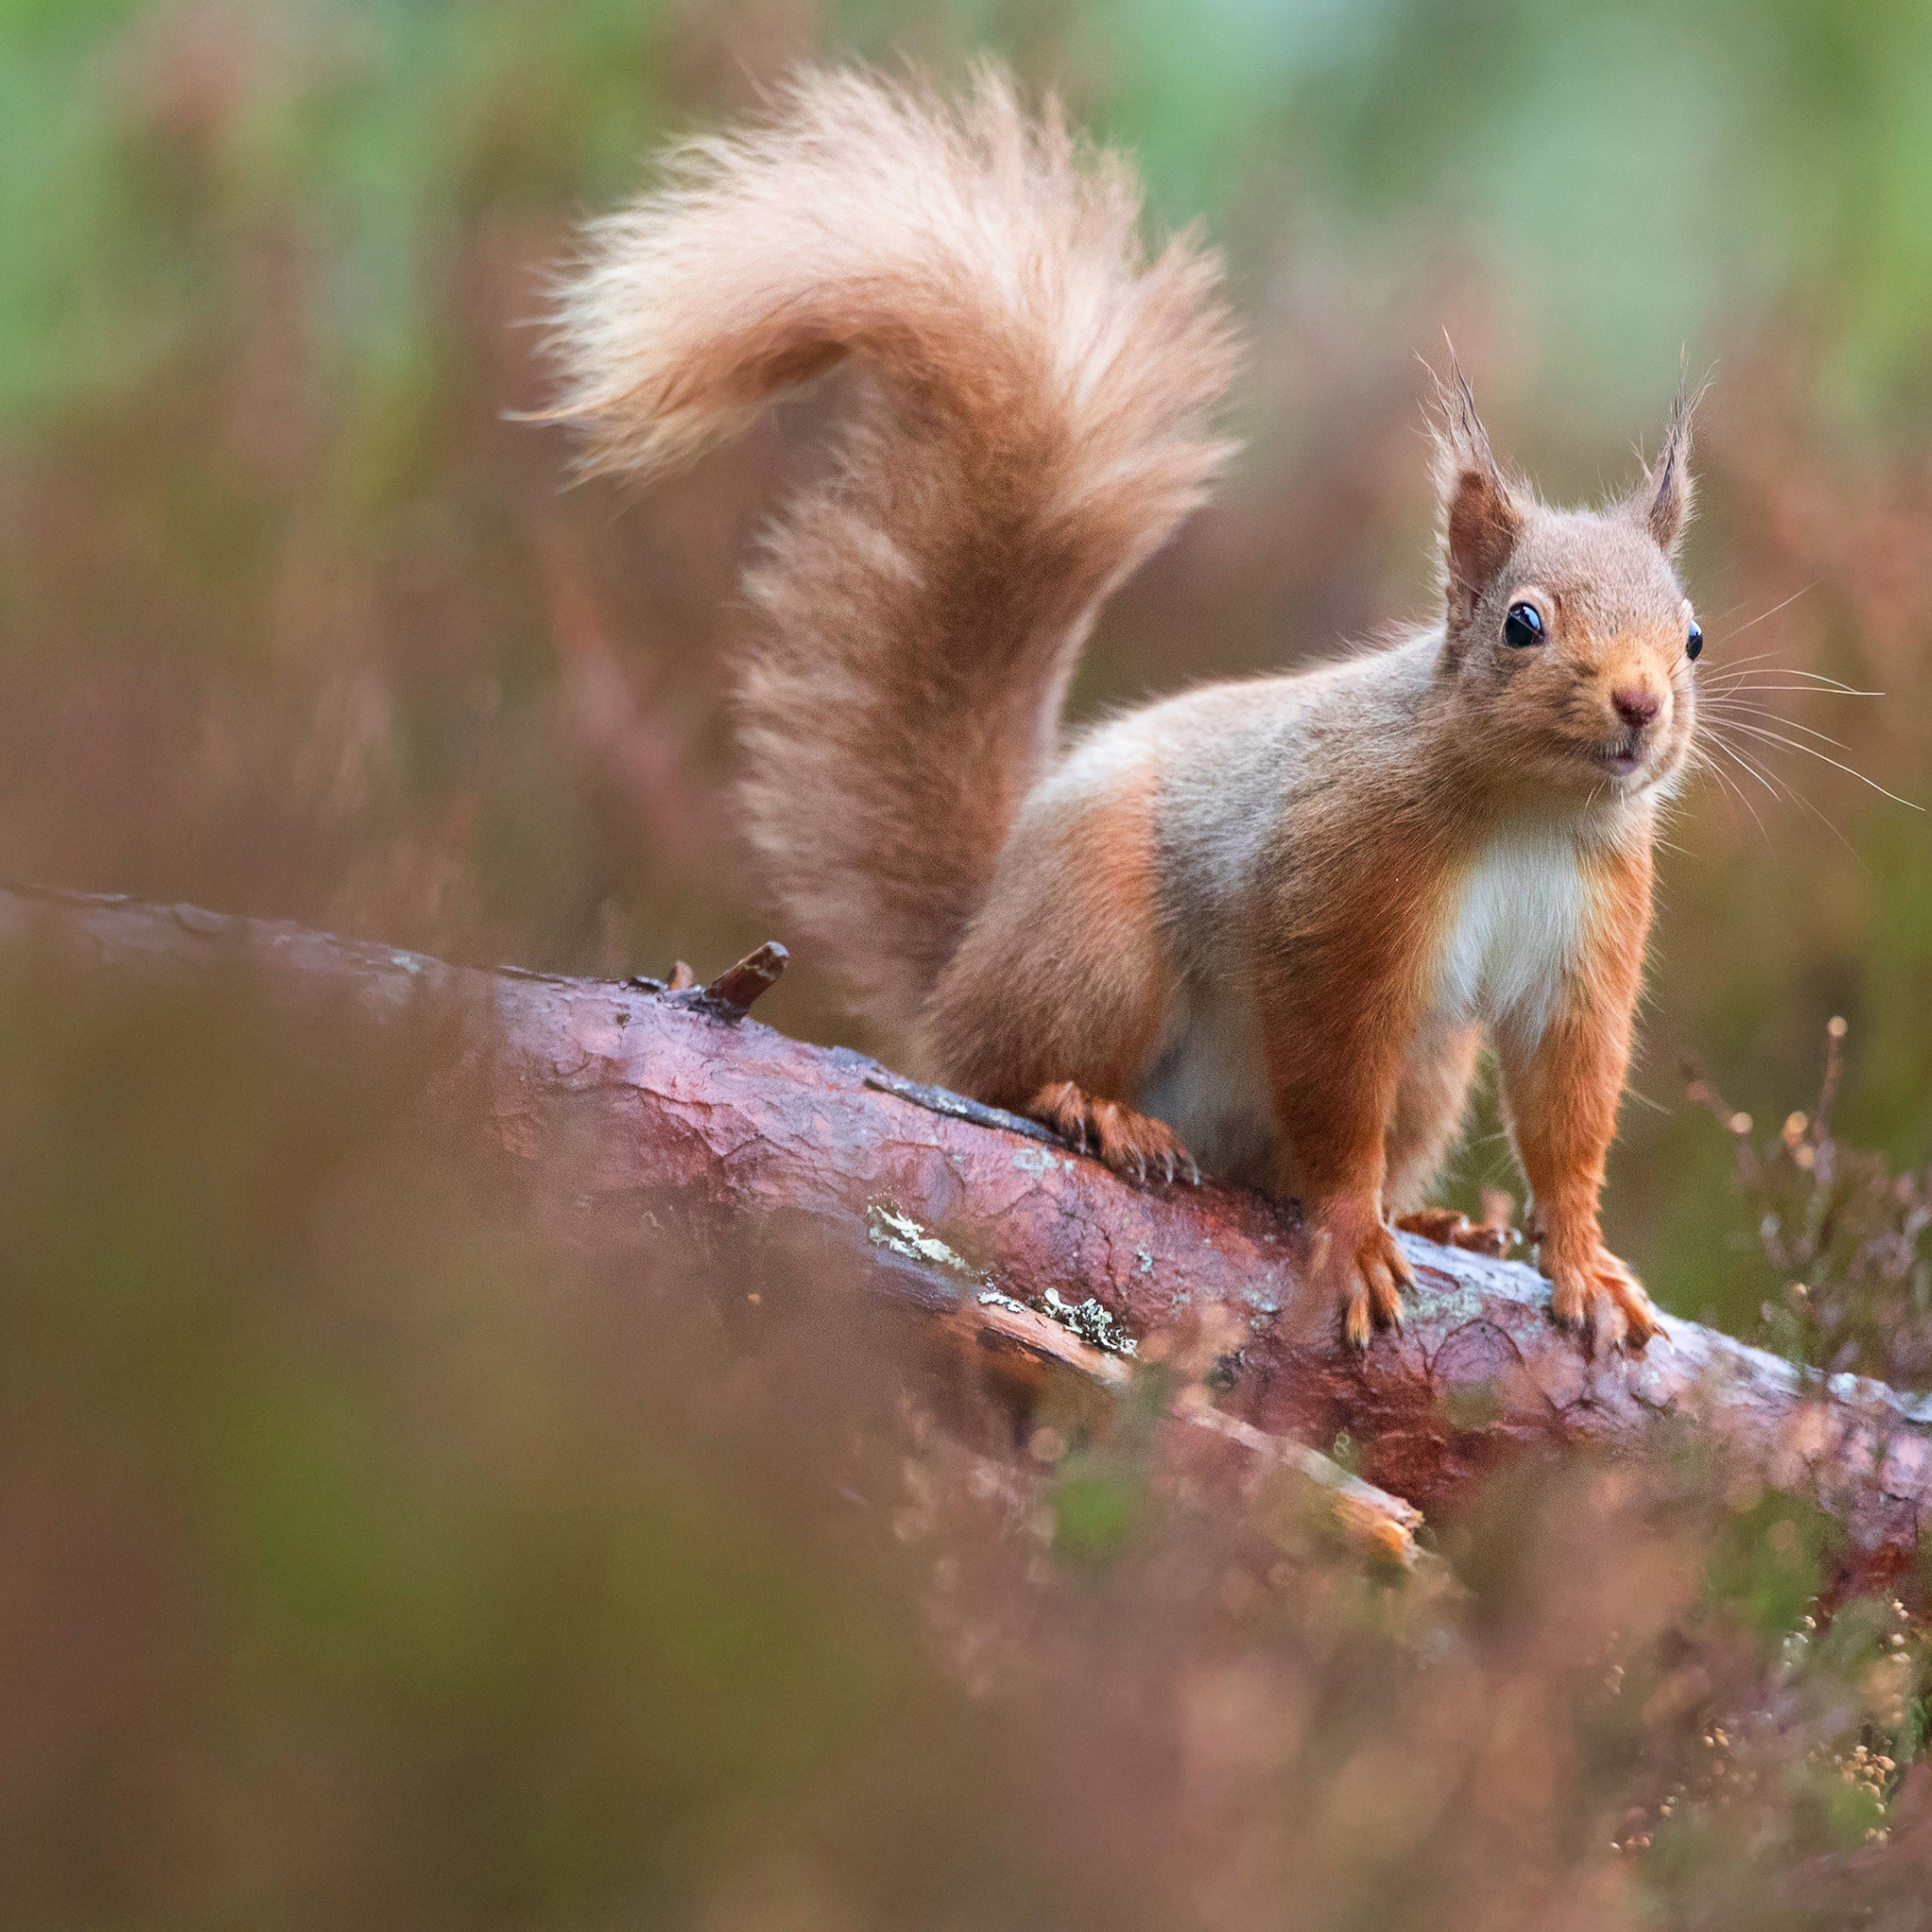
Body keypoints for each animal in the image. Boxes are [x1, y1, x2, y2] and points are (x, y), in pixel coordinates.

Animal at [552, 68, 1700, 1352]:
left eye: (1691, 634)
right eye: (1520, 622)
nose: (1641, 703)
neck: (1526, 812)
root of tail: (972, 946)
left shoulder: (1588, 947)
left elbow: (1567, 1111)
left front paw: (1579, 1256)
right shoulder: (1334, 896)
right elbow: (1331, 1090)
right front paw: (1351, 1232)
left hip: (1429, 1070)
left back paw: (1439, 1216)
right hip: (1094, 941)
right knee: (996, 1069)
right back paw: (1091, 1108)